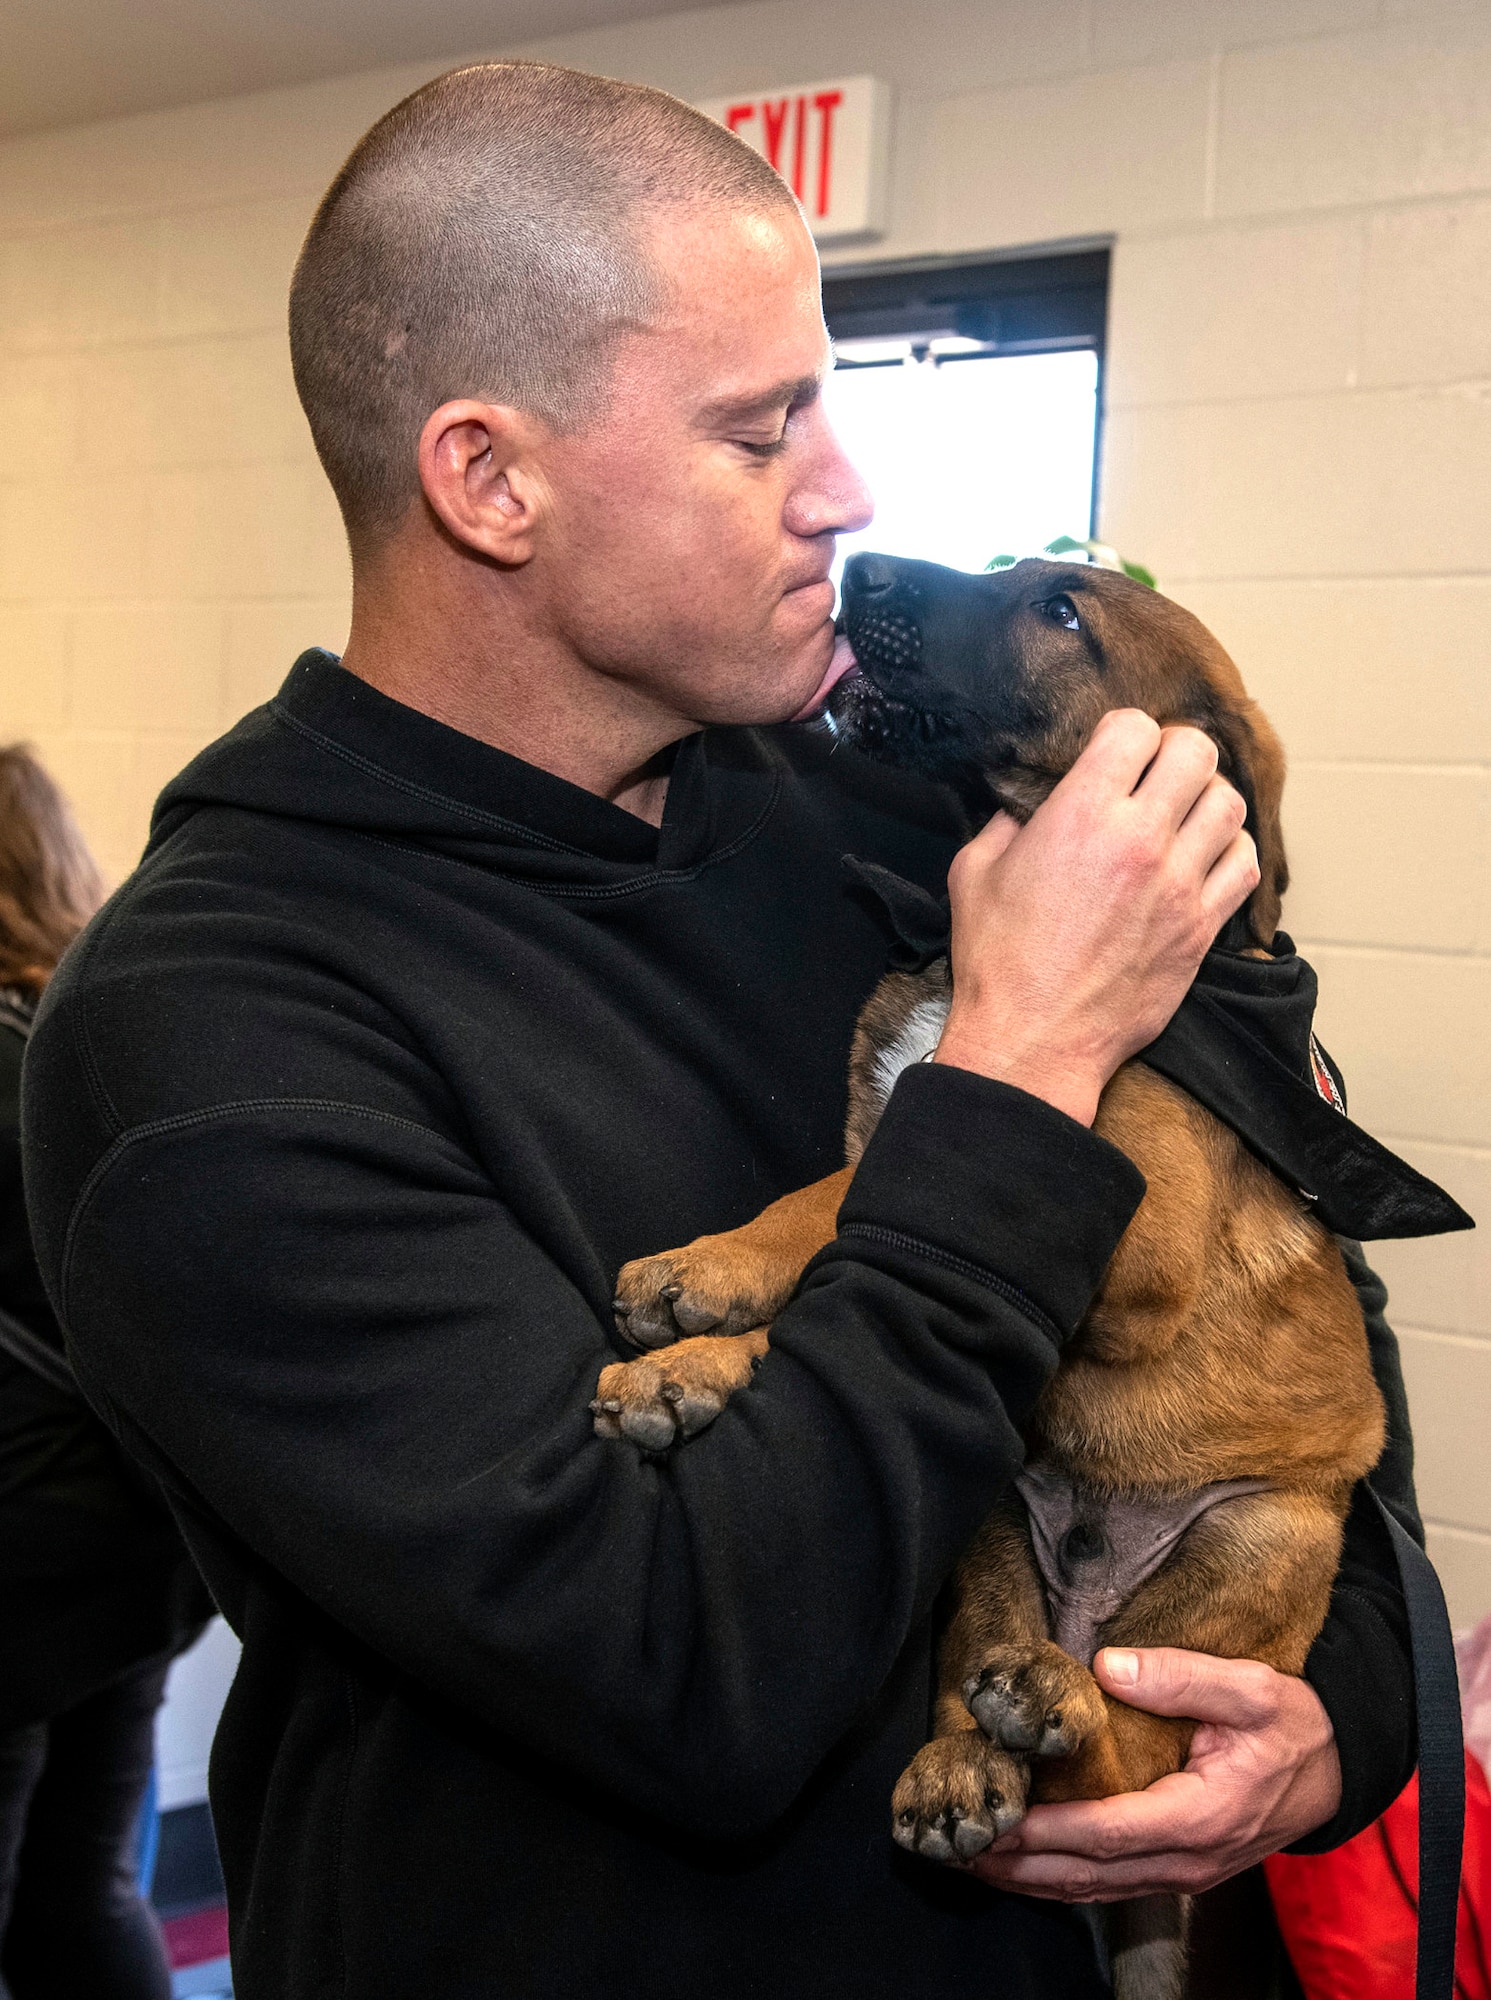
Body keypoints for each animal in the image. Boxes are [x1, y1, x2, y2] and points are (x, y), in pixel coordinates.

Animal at [587, 560, 1391, 2000]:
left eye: (1064, 611)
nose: (861, 567)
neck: (973, 952)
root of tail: (1076, 1620)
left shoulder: (1133, 1222)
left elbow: (851, 1206)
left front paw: (707, 1286)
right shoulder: (934, 1152)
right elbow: (855, 1223)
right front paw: (687, 1350)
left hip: (1266, 1539)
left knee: (1140, 1758)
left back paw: (1057, 1711)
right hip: (987, 1529)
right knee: (1001, 1685)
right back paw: (969, 1756)